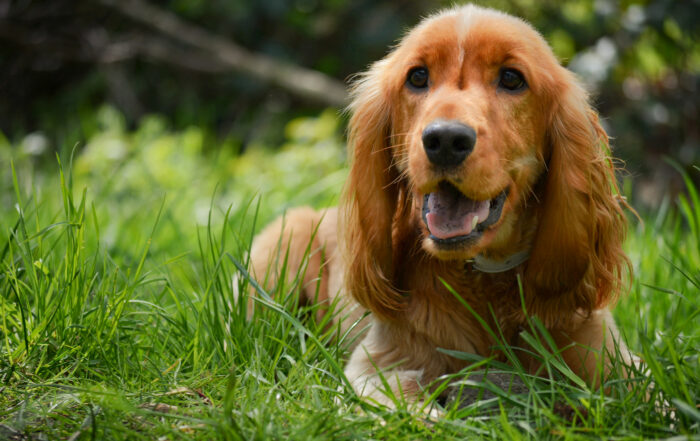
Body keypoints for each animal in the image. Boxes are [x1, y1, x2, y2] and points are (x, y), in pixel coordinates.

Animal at [247, 4, 636, 410]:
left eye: (512, 78)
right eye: (418, 76)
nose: (446, 139)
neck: (482, 277)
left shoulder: (613, 362)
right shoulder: (376, 368)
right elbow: (415, 409)